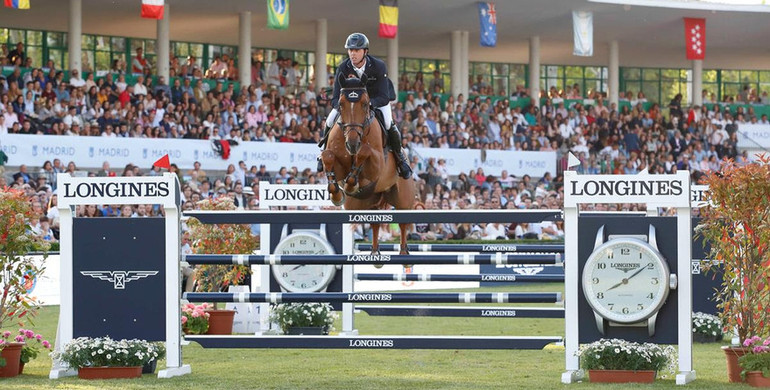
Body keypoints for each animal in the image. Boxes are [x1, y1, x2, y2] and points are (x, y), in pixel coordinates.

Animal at [318, 73, 414, 258]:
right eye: (341, 104)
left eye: (364, 103)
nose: (352, 144)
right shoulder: (337, 165)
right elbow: (328, 156)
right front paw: (337, 194)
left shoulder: (376, 167)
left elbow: (365, 151)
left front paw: (351, 184)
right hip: (363, 204)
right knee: (374, 222)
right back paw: (375, 253)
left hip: (402, 199)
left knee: (403, 223)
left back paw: (404, 253)